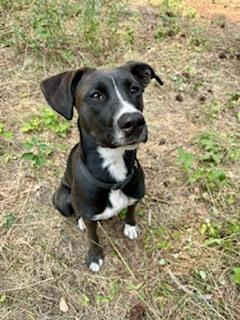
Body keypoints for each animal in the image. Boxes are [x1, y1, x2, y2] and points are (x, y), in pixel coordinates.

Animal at [40, 61, 163, 272]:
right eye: (96, 95)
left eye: (134, 89)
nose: (134, 121)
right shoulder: (90, 218)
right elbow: (93, 237)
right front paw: (95, 257)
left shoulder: (136, 195)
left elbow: (131, 210)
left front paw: (130, 226)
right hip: (62, 199)